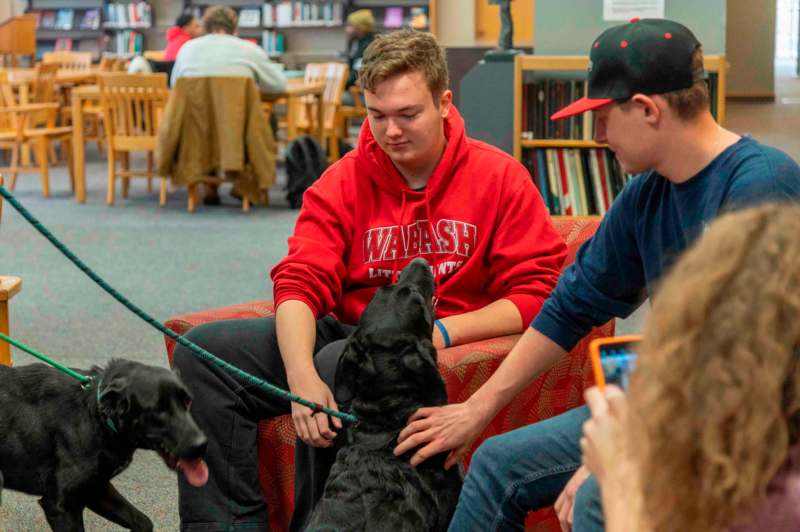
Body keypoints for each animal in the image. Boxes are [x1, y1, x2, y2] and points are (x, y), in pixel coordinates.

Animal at [0, 360, 209, 528]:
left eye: (187, 401)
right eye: (158, 409)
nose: (202, 445)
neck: (95, 416)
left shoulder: (96, 488)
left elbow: (143, 522)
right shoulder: (61, 505)